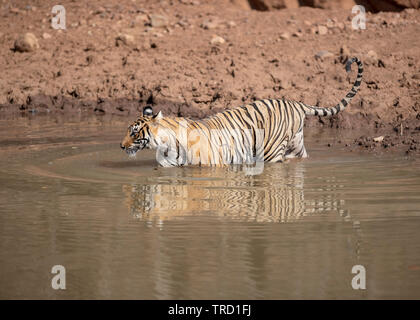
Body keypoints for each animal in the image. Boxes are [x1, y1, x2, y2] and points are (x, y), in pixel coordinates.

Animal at [120, 58, 362, 168]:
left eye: (134, 132)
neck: (166, 145)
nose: (121, 147)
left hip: (272, 151)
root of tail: (295, 103)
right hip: (296, 144)